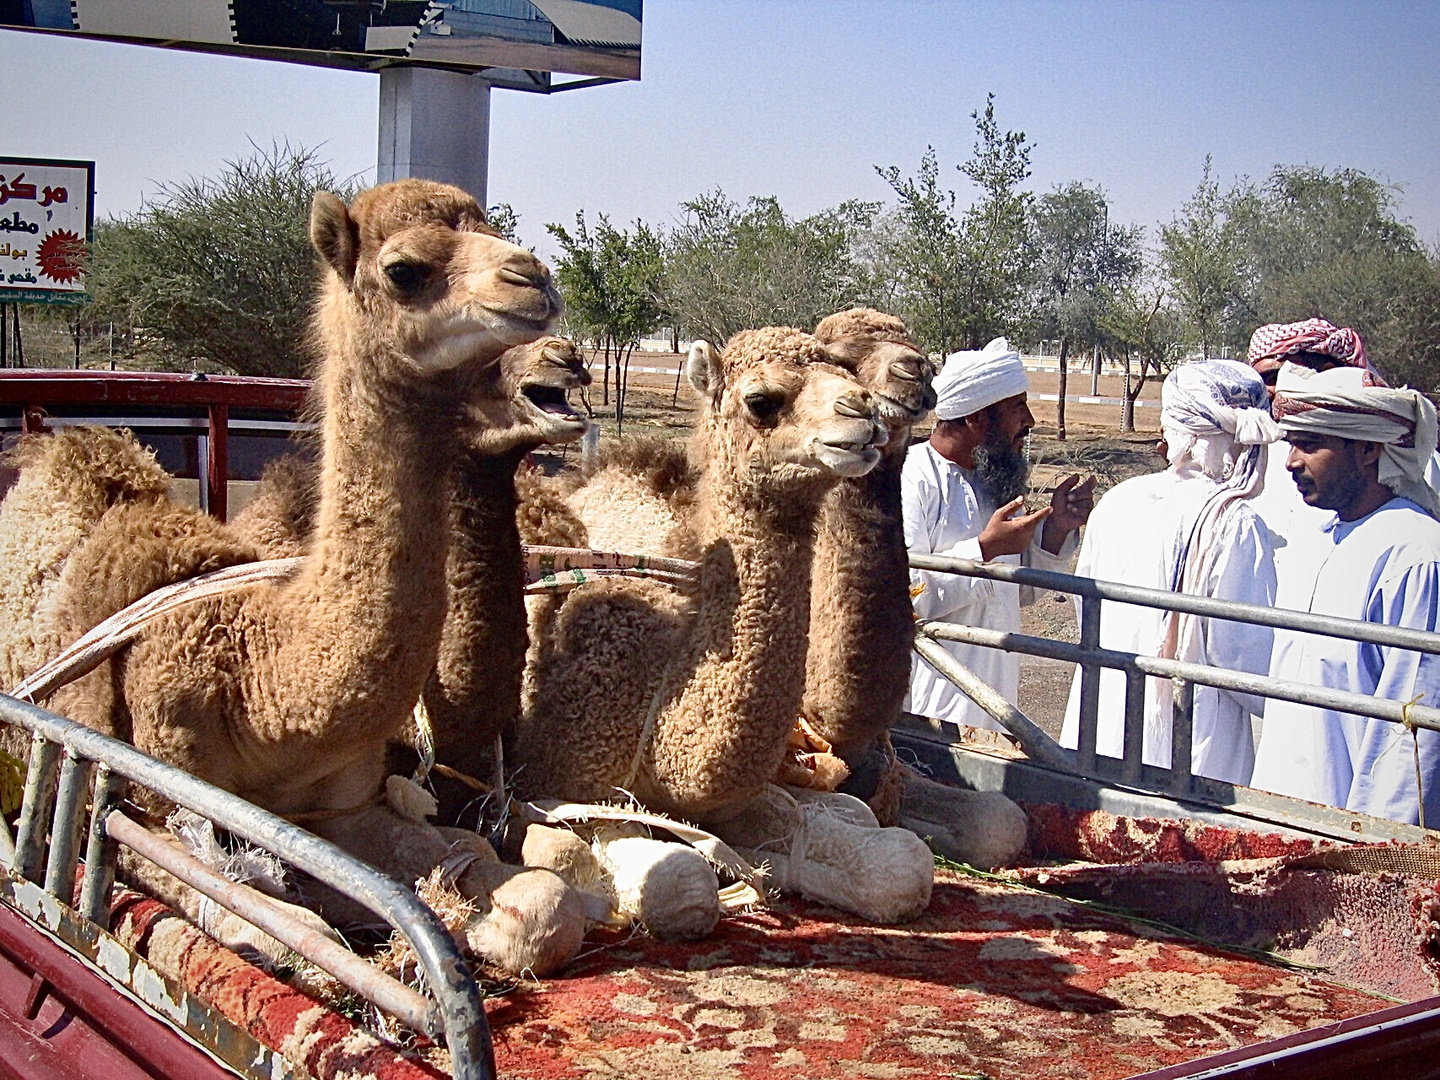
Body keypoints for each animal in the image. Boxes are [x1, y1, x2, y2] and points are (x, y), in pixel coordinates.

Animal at [0, 180, 587, 979]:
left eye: (492, 227)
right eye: (404, 269)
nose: (535, 284)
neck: (260, 684)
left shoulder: (346, 803)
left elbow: (523, 885)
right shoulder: (149, 802)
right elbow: (279, 930)